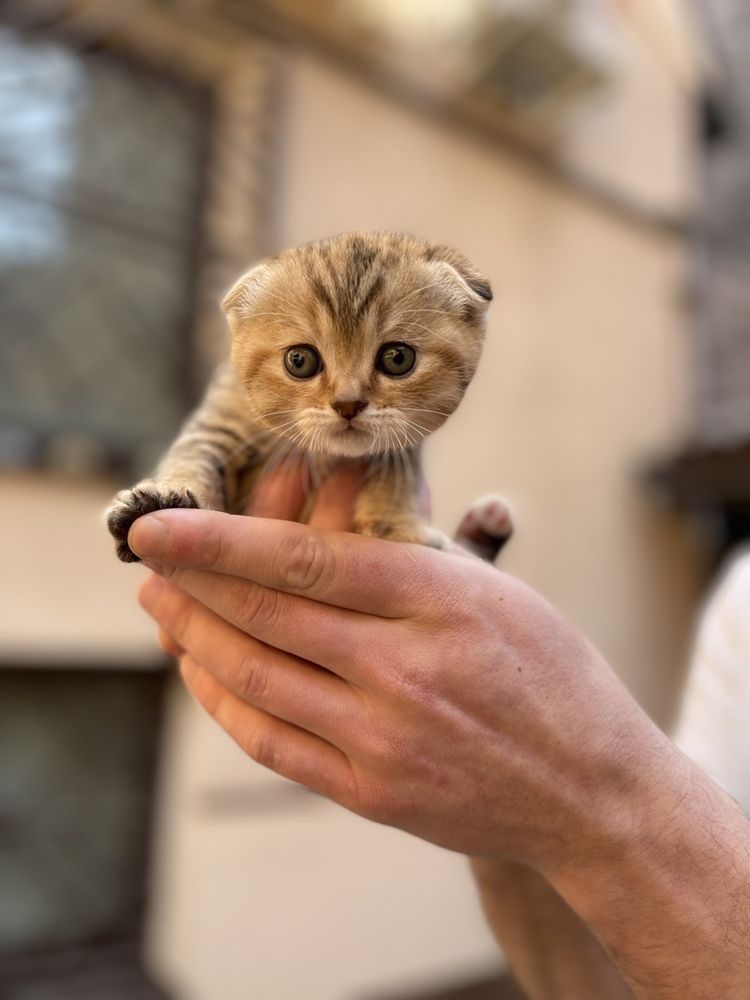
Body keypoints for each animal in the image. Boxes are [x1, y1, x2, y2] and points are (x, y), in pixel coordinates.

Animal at [106, 232, 508, 564]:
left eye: (398, 358)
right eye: (300, 360)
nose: (348, 404)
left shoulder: (406, 441)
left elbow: (397, 472)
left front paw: (399, 525)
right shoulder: (222, 418)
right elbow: (195, 454)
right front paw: (166, 497)